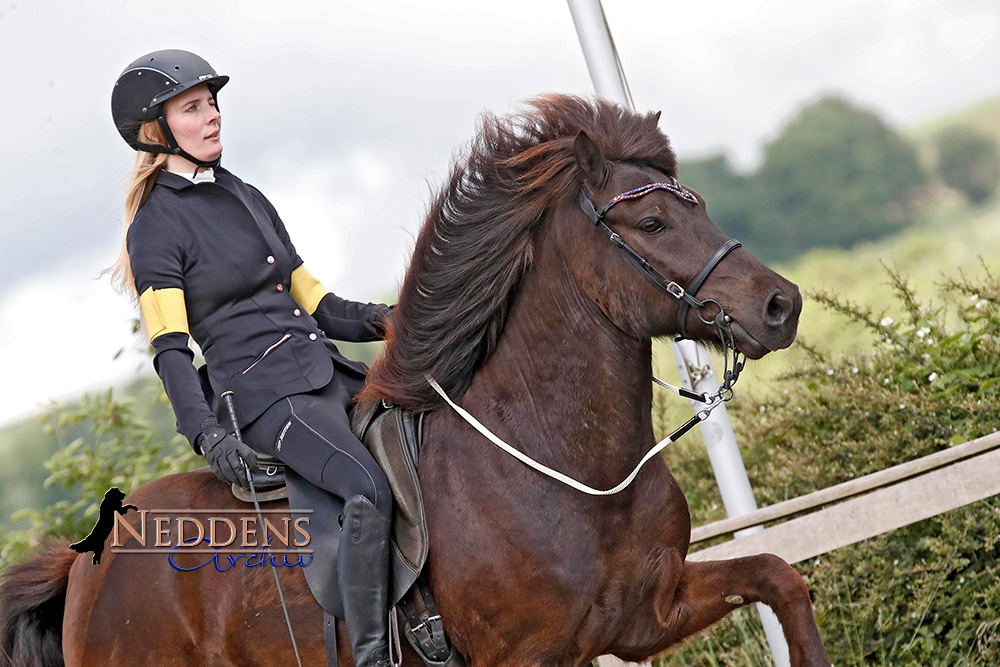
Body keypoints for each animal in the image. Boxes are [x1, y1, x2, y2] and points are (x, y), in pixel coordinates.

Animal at [0, 95, 828, 667]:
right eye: (652, 223)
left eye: (699, 205)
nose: (779, 305)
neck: (565, 466)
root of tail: (87, 560)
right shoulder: (532, 656)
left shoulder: (643, 616)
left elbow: (778, 574)